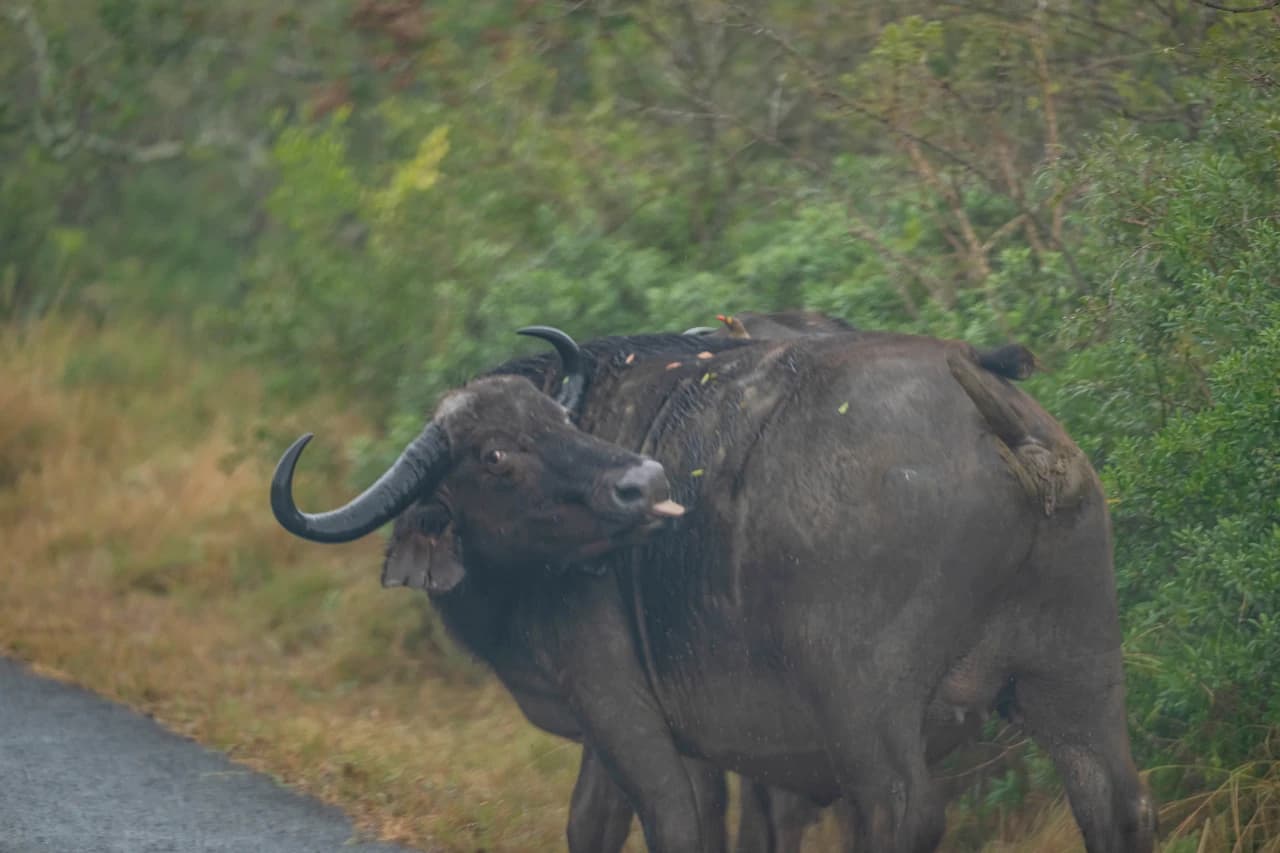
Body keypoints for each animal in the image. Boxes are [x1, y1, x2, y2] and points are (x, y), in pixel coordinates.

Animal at [271, 324, 1155, 853]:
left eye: (557, 424)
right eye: (493, 454)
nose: (642, 479)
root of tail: (1013, 432)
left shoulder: (619, 704)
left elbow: (675, 823)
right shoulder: (622, 724)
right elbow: (593, 822)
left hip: (865, 702)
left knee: (901, 811)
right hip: (1078, 672)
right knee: (1117, 802)